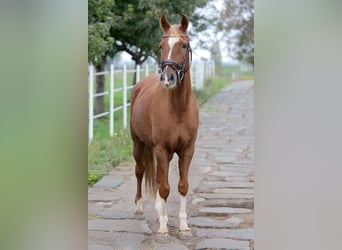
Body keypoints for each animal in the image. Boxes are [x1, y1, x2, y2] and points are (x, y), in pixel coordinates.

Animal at [130, 13, 199, 233]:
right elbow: (165, 187)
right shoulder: (161, 148)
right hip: (138, 144)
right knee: (140, 171)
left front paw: (183, 225)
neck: (178, 108)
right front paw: (162, 226)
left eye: (183, 45)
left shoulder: (187, 150)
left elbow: (182, 186)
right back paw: (139, 206)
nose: (167, 78)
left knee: (160, 176)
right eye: (161, 45)